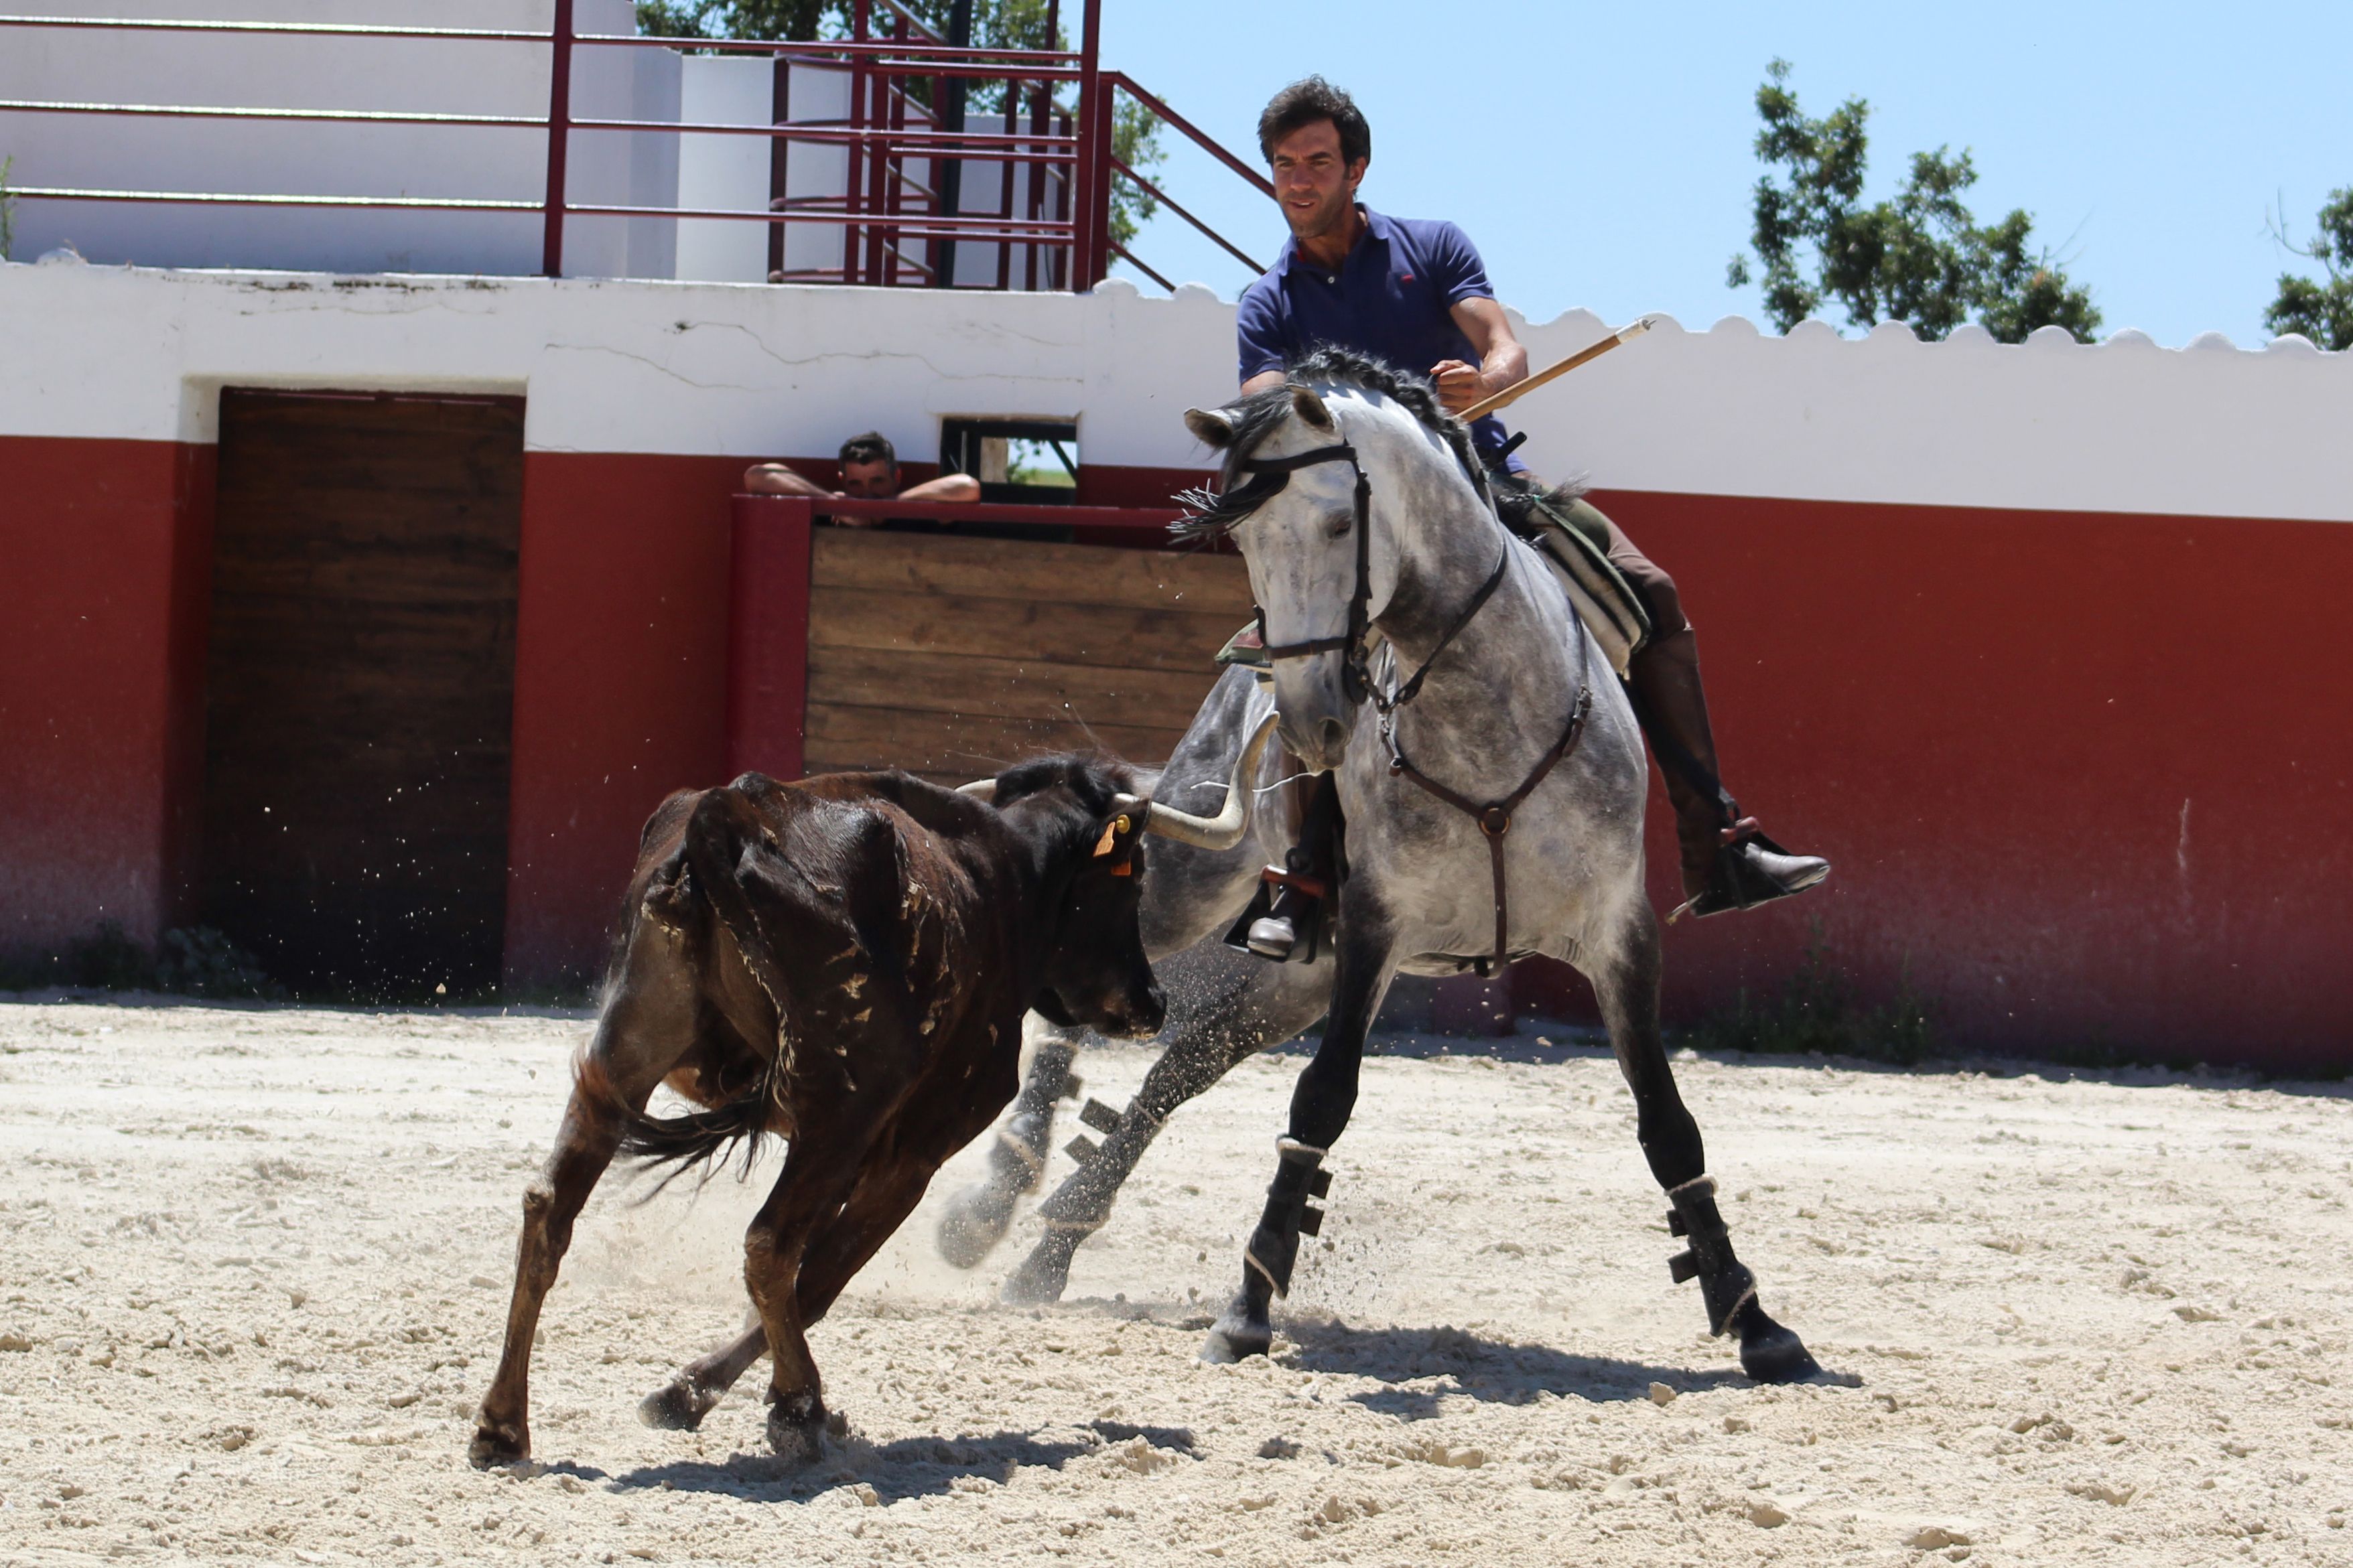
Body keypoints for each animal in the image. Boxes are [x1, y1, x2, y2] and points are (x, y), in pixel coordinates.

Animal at [463, 724, 1270, 1476]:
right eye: (1131, 881)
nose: (1153, 1001)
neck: (1000, 878)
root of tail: (729, 815)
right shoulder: (910, 1152)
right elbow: (821, 1277)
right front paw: (704, 1394)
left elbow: (810, 1274)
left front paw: (688, 1393)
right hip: (846, 1105)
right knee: (770, 1244)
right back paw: (802, 1408)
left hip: (624, 1056)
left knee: (549, 1210)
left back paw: (502, 1424)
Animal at [936, 354, 1816, 1382]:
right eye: (1243, 538)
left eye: (1335, 523)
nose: (1310, 718)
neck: (1485, 710)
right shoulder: (1373, 924)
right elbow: (1321, 1103)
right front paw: (1246, 1310)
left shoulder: (1617, 934)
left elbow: (1668, 1123)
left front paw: (1753, 1317)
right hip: (1197, 877)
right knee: (1081, 985)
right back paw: (991, 1201)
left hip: (1298, 975)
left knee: (1178, 1067)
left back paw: (1049, 1247)